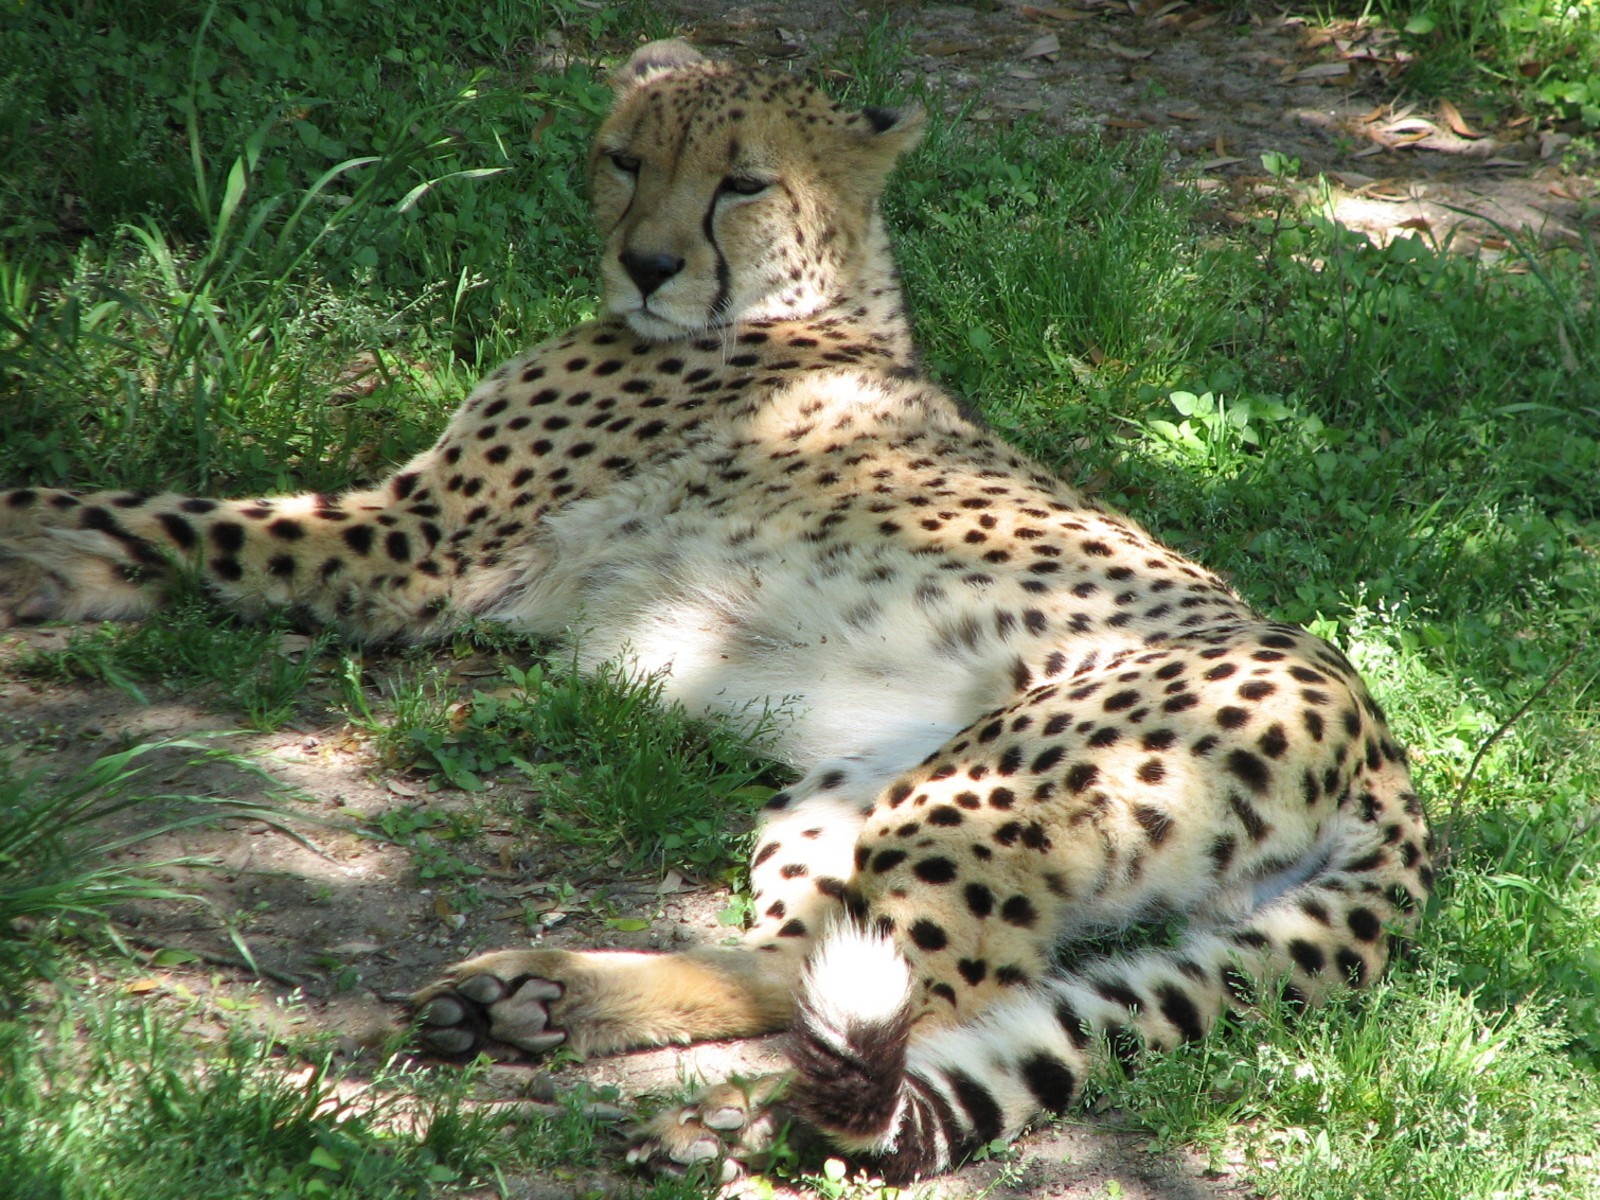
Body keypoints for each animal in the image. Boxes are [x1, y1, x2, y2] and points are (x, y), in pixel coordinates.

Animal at [0, 40, 1433, 1184]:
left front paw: (32, 544)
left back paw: (733, 1119)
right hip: (848, 792)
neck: (810, 305)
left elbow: (165, 510)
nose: (646, 265)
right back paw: (540, 1001)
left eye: (742, 184)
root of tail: (1387, 749)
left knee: (951, 986)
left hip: (986, 786)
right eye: (623, 158)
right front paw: (53, 564)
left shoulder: (412, 540)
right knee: (825, 963)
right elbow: (150, 520)